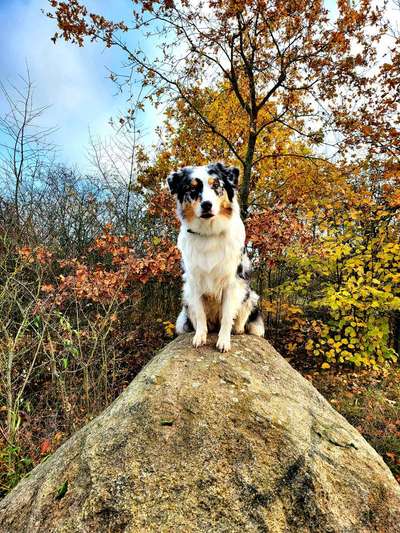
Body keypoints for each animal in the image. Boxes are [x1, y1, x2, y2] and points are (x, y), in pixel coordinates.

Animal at [167, 162, 264, 354]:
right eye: (192, 188)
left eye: (216, 185)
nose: (206, 204)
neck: (209, 233)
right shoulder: (194, 283)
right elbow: (200, 314)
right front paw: (200, 337)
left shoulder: (232, 283)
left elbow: (227, 316)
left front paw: (224, 341)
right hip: (186, 296)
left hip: (250, 294)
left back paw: (237, 329)